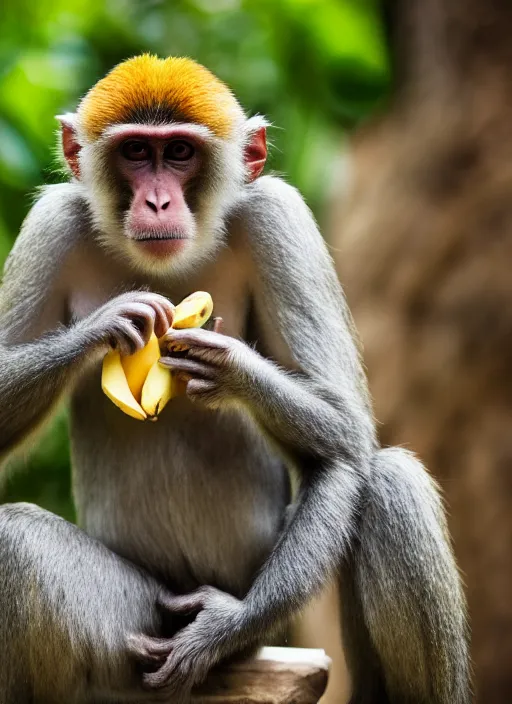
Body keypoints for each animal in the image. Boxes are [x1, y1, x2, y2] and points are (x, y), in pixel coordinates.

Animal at [0, 56, 470, 704]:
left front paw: (226, 367)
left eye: (178, 152)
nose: (156, 201)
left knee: (390, 479)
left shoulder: (278, 214)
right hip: (139, 630)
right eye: (135, 152)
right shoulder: (51, 224)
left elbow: (343, 443)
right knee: (18, 542)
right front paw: (107, 325)